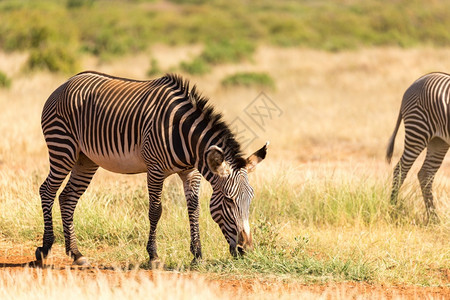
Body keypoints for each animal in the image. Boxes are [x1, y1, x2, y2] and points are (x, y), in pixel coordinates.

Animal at [36, 71, 268, 266]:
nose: (246, 249)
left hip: (85, 159)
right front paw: (154, 256)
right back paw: (45, 248)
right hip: (62, 147)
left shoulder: (190, 172)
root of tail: (66, 83)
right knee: (47, 190)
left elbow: (194, 210)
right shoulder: (155, 169)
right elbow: (156, 211)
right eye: (229, 200)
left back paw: (76, 254)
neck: (184, 135)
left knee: (67, 197)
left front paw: (197, 255)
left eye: (250, 199)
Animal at [384, 72, 448, 223]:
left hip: (438, 141)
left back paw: (433, 219)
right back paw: (392, 210)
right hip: (417, 133)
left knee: (426, 174)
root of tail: (418, 80)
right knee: (400, 170)